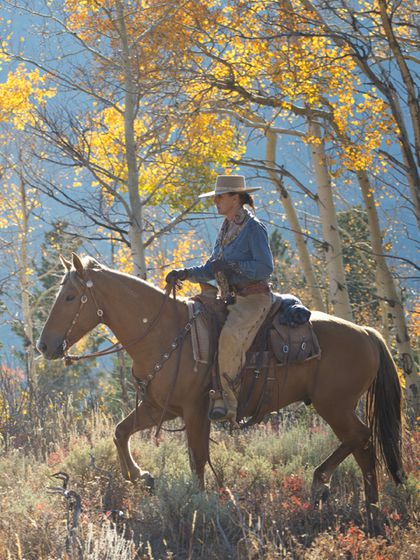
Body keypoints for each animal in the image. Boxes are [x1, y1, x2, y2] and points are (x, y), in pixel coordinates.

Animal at [38, 254, 404, 532]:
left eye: (70, 297)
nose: (44, 345)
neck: (164, 332)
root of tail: (366, 333)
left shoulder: (196, 410)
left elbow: (197, 458)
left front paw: (197, 506)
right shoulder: (159, 407)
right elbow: (120, 432)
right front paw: (142, 477)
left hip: (335, 407)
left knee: (361, 438)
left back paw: (323, 484)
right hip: (339, 407)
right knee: (363, 447)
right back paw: (369, 508)